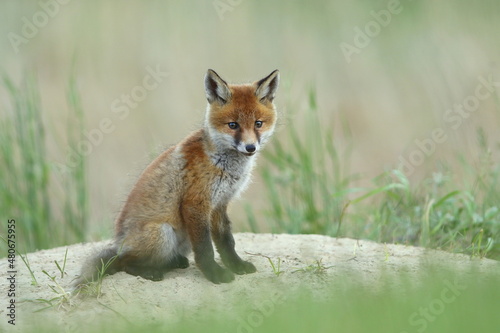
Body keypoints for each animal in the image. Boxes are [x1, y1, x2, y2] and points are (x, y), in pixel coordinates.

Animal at [74, 68, 280, 286]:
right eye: (233, 125)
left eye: (258, 123)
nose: (250, 147)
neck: (223, 163)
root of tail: (120, 243)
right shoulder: (195, 203)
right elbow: (205, 249)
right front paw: (214, 274)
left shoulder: (219, 204)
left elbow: (227, 242)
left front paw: (236, 265)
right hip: (162, 234)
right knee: (124, 263)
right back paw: (149, 272)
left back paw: (174, 262)